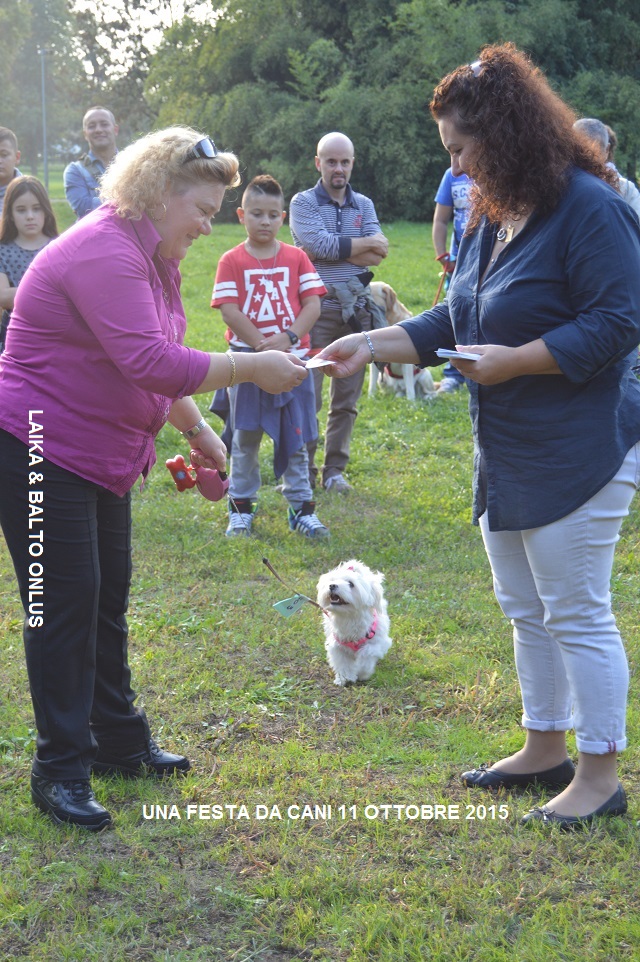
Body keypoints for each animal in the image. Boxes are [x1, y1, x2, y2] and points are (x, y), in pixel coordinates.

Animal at [318, 560, 392, 688]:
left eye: (351, 584)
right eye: (332, 580)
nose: (332, 585)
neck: (349, 617)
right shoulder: (337, 646)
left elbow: (366, 655)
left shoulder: (377, 643)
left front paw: (362, 673)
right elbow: (342, 663)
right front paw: (344, 678)